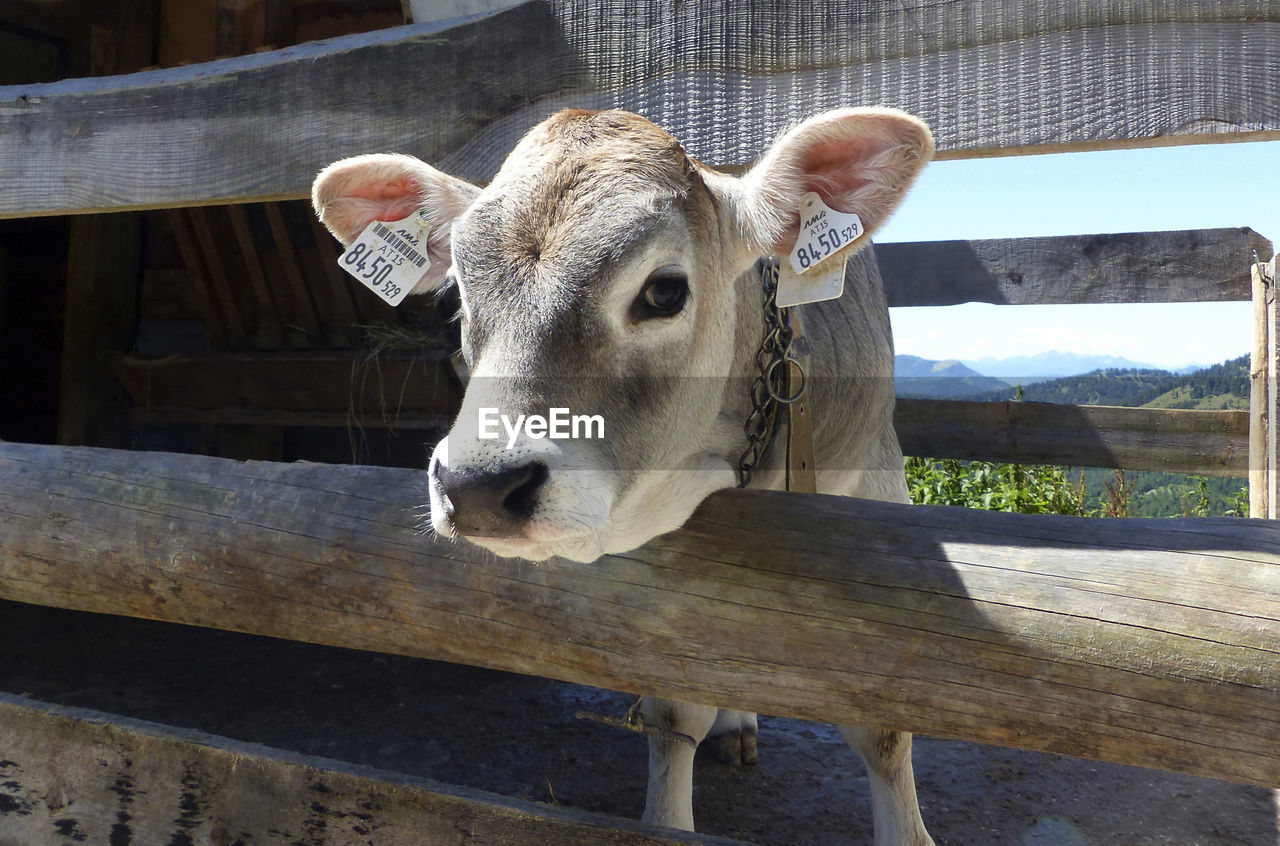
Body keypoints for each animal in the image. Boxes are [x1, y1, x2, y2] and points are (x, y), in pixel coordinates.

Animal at [314, 108, 936, 839]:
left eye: (665, 290)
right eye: (457, 297)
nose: (479, 486)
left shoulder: (878, 481)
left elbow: (884, 726)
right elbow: (674, 710)